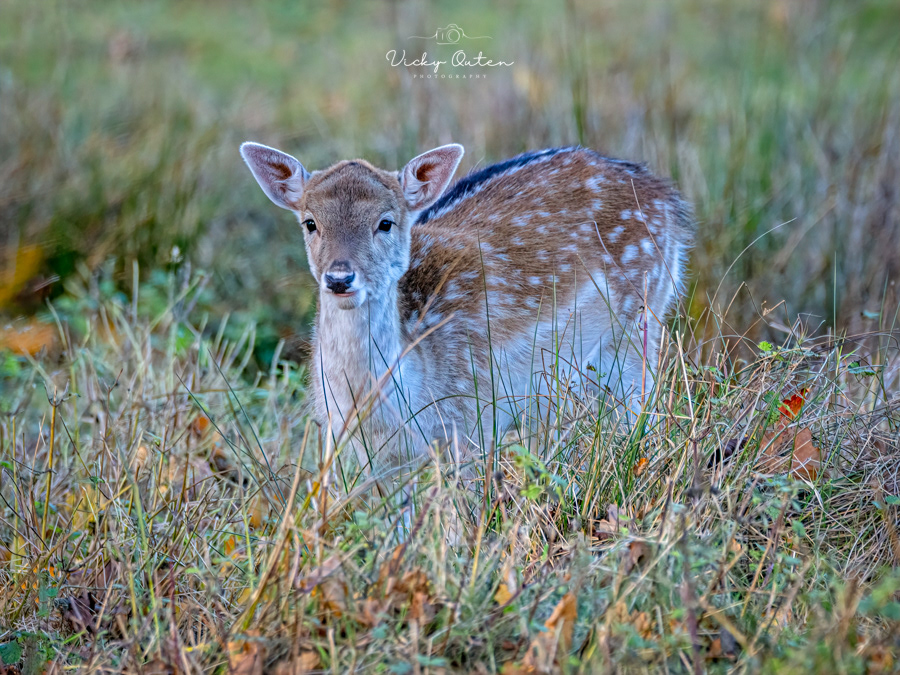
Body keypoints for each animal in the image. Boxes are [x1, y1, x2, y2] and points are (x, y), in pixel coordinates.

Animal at [240, 142, 693, 479]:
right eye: (310, 222)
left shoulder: (470, 417)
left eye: (385, 222)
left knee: (643, 414)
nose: (339, 278)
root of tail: (668, 197)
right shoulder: (356, 444)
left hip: (639, 320)